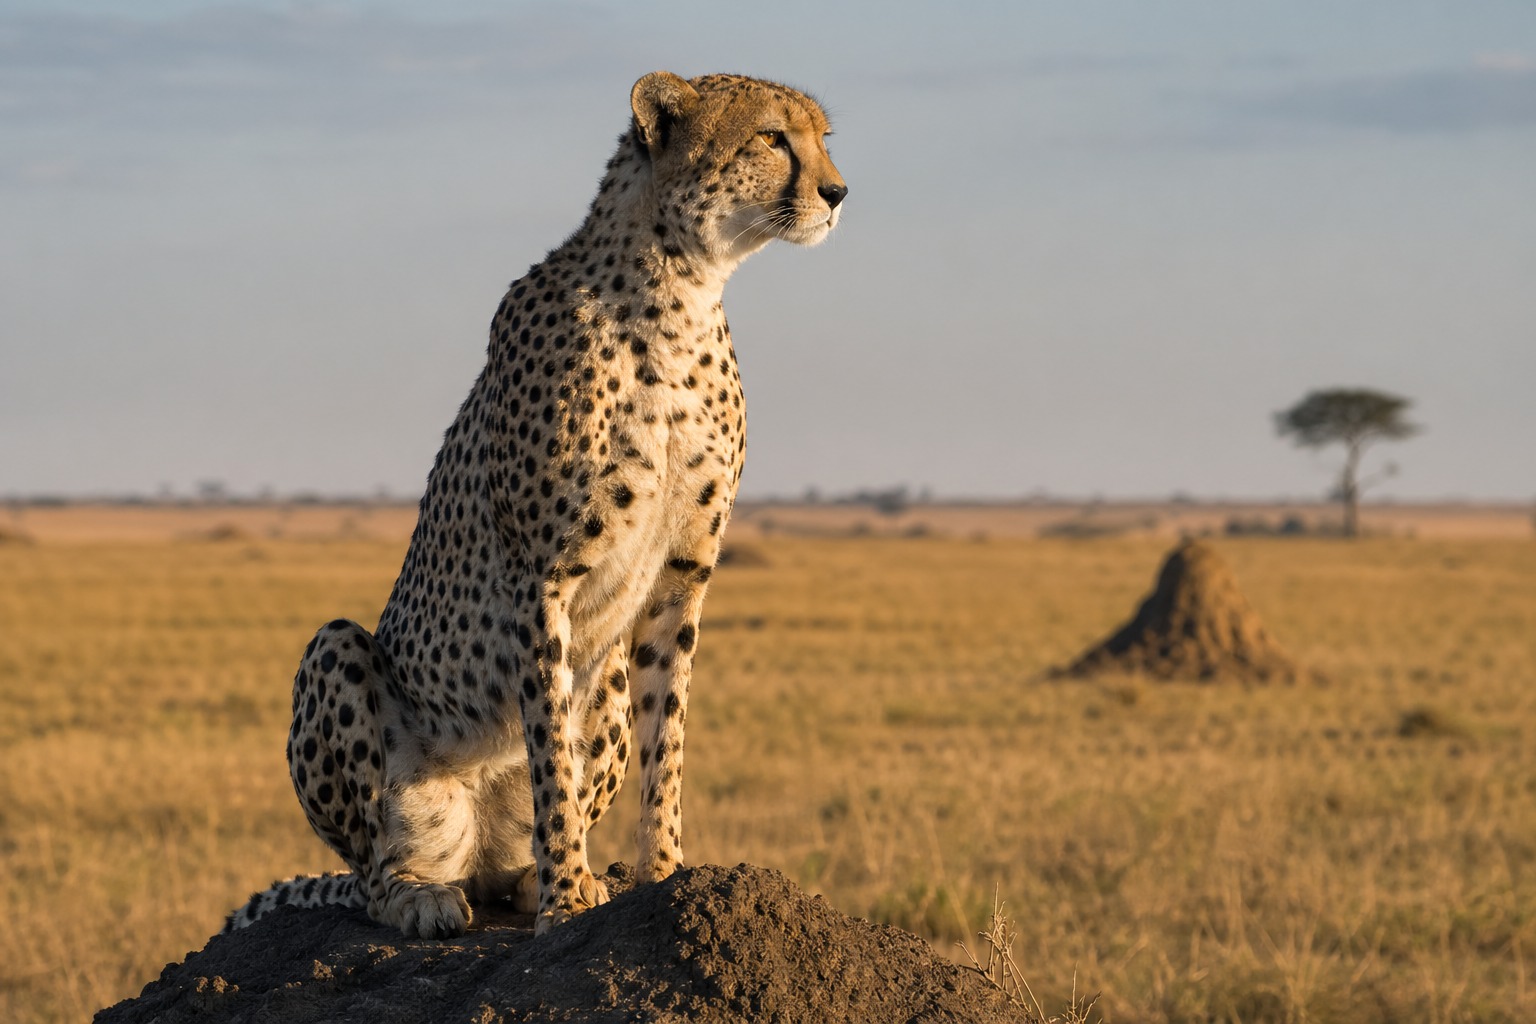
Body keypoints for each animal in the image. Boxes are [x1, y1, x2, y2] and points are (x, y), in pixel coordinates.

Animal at [224, 71, 846, 938]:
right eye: (770, 137)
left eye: (822, 137)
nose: (838, 191)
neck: (681, 290)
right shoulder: (542, 576)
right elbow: (552, 743)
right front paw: (568, 896)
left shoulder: (681, 576)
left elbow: (667, 736)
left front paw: (661, 873)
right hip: (338, 657)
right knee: (373, 868)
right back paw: (422, 893)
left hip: (605, 677)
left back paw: (524, 878)